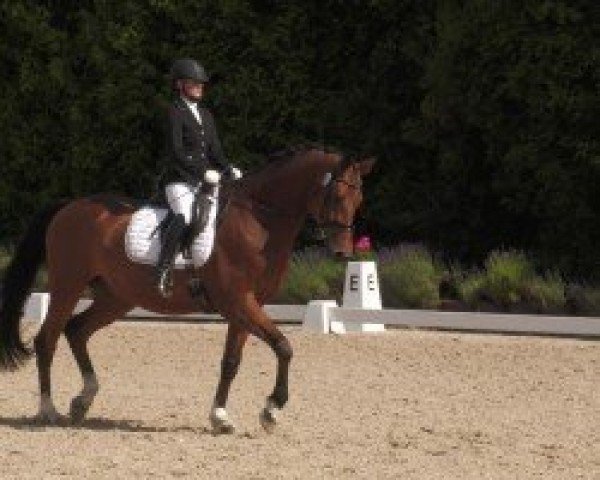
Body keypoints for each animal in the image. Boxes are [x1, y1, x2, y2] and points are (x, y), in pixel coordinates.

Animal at [0, 144, 376, 434]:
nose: (343, 253)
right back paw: (48, 411)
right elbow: (283, 346)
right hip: (68, 286)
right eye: (337, 195)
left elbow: (231, 362)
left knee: (77, 330)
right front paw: (271, 410)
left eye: (359, 198)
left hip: (116, 297)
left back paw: (82, 401)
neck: (258, 221)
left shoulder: (245, 306)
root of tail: (68, 207)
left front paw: (220, 417)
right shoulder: (239, 301)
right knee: (46, 339)